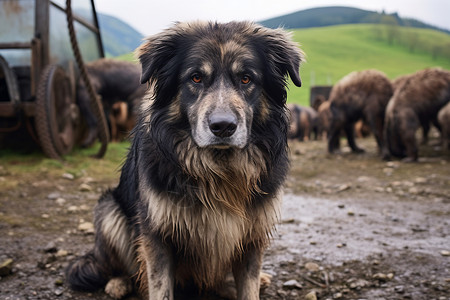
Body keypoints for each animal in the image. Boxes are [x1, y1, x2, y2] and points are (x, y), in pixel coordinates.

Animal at [67, 21, 304, 300]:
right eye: (196, 77)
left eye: (246, 78)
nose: (223, 127)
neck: (218, 169)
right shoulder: (157, 233)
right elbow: (159, 286)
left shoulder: (251, 235)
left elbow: (248, 287)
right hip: (109, 210)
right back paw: (118, 283)